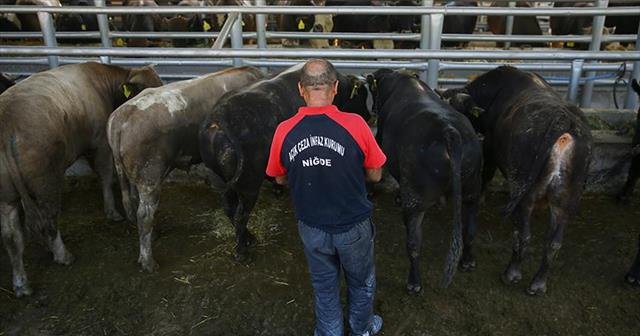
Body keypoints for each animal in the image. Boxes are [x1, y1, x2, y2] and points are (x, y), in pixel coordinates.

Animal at [0, 61, 162, 296]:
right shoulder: (101, 144)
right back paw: (63, 255)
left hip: (7, 197)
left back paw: (21, 284)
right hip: (46, 183)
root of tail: (7, 119)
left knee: (12, 238)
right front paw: (112, 212)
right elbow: (105, 176)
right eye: (147, 88)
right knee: (49, 220)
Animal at [107, 65, 264, 272]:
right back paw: (148, 261)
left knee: (132, 202)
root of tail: (121, 117)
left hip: (132, 175)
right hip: (150, 178)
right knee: (144, 215)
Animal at [200, 63, 370, 262]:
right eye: (361, 96)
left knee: (230, 208)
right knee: (240, 215)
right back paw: (243, 251)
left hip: (220, 178)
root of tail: (219, 116)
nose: (369, 115)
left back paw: (249, 237)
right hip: (249, 183)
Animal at [364, 69, 480, 292]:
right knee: (470, 229)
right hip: (472, 190)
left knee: (414, 242)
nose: (373, 109)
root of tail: (449, 132)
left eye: (373, 90)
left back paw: (414, 282)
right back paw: (468, 261)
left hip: (415, 201)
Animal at [442, 65, 592, 294]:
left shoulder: (490, 148)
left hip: (526, 194)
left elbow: (487, 174)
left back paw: (511, 274)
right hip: (565, 201)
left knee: (524, 235)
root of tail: (563, 122)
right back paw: (538, 283)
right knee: (554, 243)